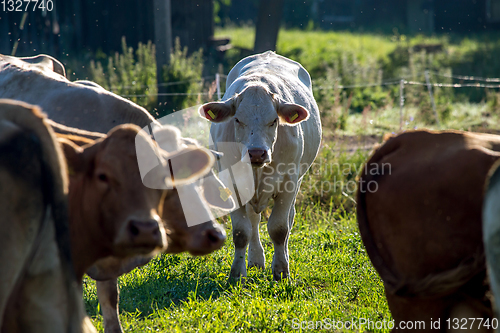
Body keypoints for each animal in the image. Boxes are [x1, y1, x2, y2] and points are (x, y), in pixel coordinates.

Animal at [197, 50, 322, 278]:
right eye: (237, 120)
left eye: (274, 121)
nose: (256, 152)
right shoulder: (233, 184)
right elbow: (241, 232)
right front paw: (237, 274)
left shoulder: (288, 184)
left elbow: (280, 229)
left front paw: (281, 271)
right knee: (254, 221)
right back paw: (256, 260)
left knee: (289, 219)